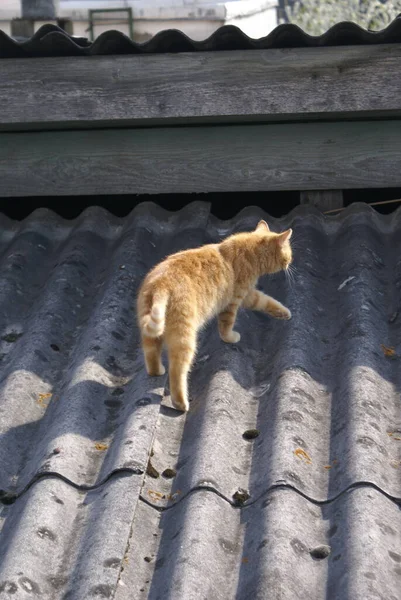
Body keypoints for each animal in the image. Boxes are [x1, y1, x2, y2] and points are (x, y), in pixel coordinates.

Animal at [137, 220, 290, 412]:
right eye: (289, 251)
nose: (290, 261)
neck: (249, 251)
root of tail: (161, 284)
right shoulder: (233, 302)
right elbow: (226, 326)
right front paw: (230, 337)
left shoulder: (248, 295)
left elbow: (266, 301)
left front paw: (284, 312)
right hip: (185, 338)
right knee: (177, 370)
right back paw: (181, 403)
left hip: (150, 333)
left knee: (150, 354)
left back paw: (157, 371)